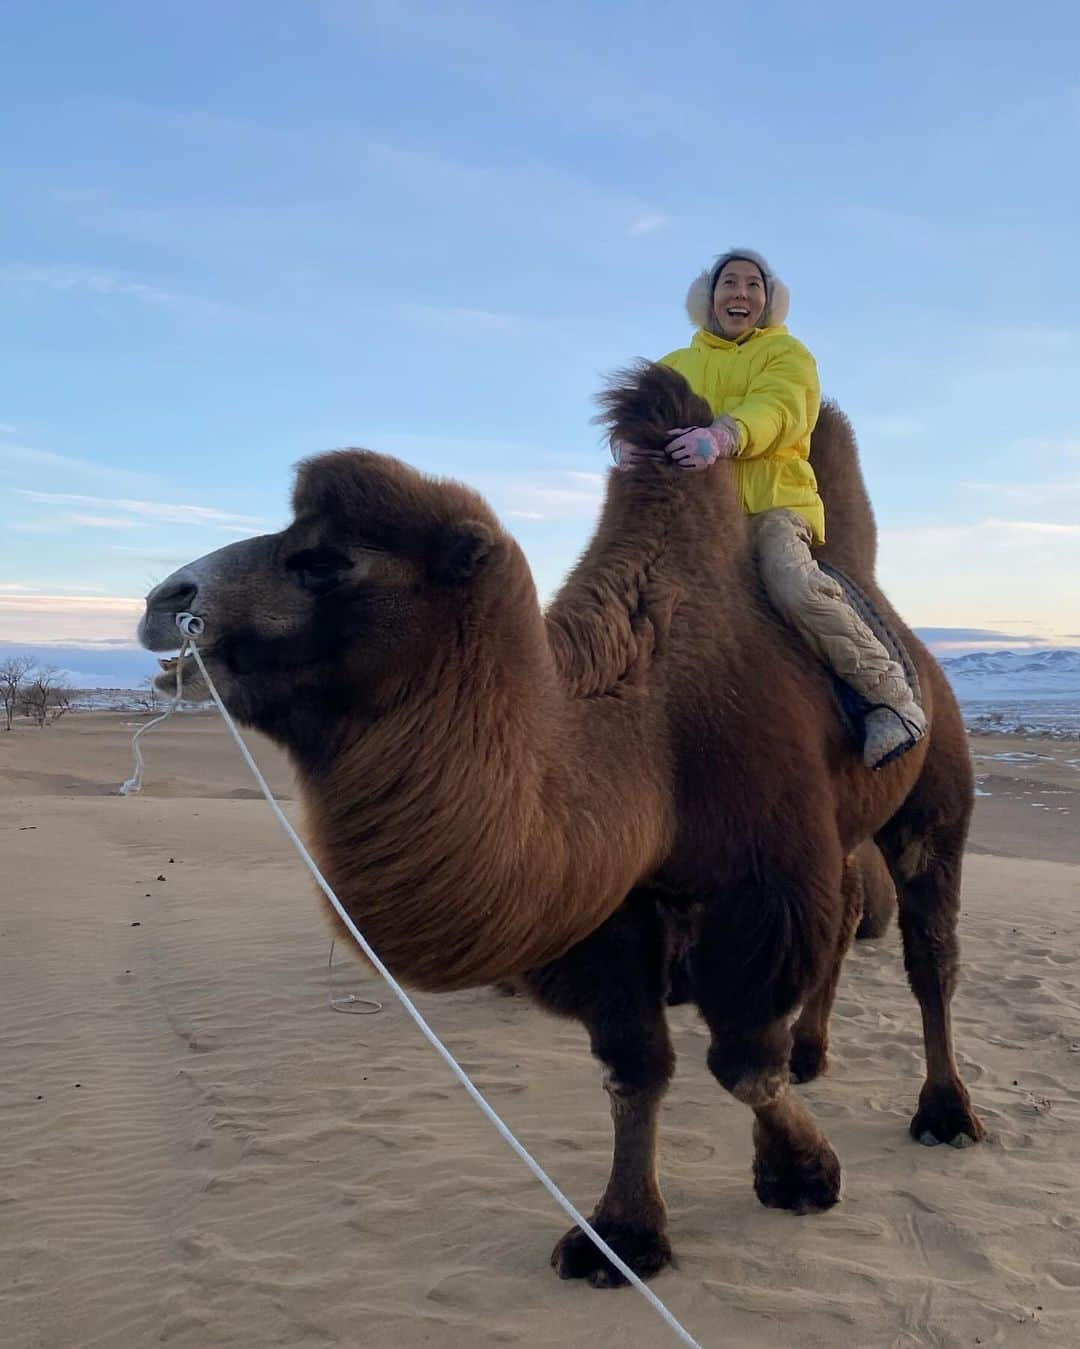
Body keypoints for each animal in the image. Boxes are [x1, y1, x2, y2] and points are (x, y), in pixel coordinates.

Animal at [138, 366, 981, 1284]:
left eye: (327, 559)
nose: (163, 599)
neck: (648, 741)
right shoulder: (612, 912)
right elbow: (635, 1066)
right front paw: (621, 1236)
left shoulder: (761, 885)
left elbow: (739, 1062)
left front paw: (802, 1174)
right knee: (845, 922)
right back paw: (813, 1048)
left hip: (933, 792)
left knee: (929, 950)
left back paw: (946, 1111)